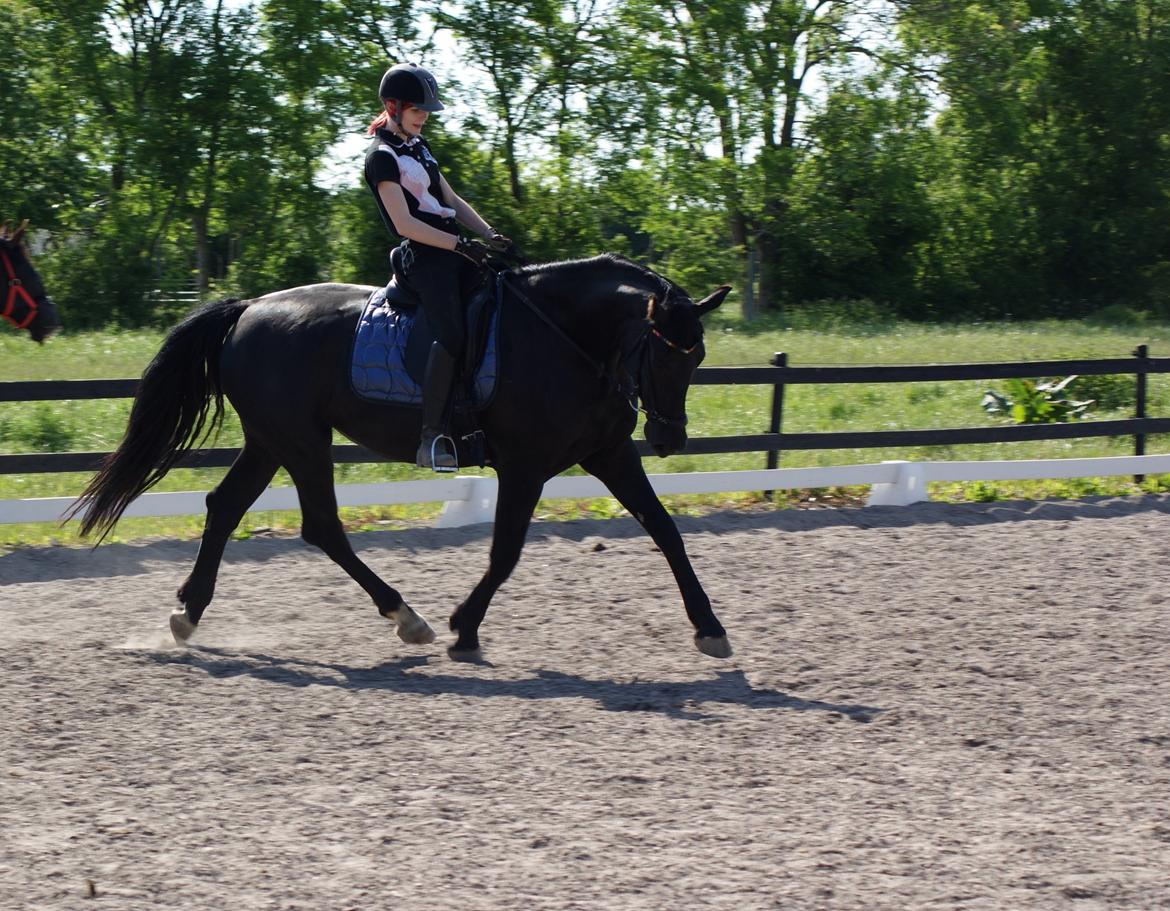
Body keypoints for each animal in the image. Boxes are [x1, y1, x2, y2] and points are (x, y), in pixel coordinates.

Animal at [66, 256, 730, 664]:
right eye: (665, 354)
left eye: (697, 357)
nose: (670, 438)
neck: (565, 336)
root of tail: (248, 309)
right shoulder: (525, 466)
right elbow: (505, 552)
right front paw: (465, 628)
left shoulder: (610, 454)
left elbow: (666, 530)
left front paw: (710, 628)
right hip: (301, 441)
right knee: (322, 526)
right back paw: (406, 616)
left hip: (270, 441)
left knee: (225, 507)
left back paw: (189, 612)